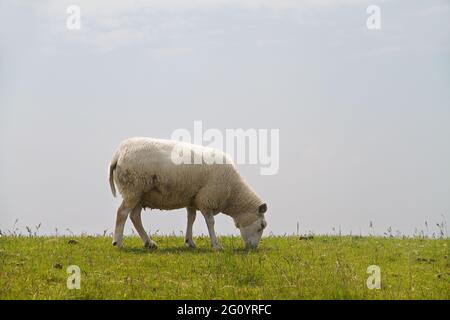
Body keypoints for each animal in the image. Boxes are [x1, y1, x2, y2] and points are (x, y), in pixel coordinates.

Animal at [108, 138, 268, 250]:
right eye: (261, 226)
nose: (253, 248)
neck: (233, 192)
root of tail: (118, 154)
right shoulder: (206, 198)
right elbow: (210, 222)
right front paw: (216, 245)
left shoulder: (193, 198)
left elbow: (191, 218)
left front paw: (189, 241)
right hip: (133, 189)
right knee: (122, 213)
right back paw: (118, 242)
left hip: (139, 194)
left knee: (135, 216)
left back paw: (149, 242)